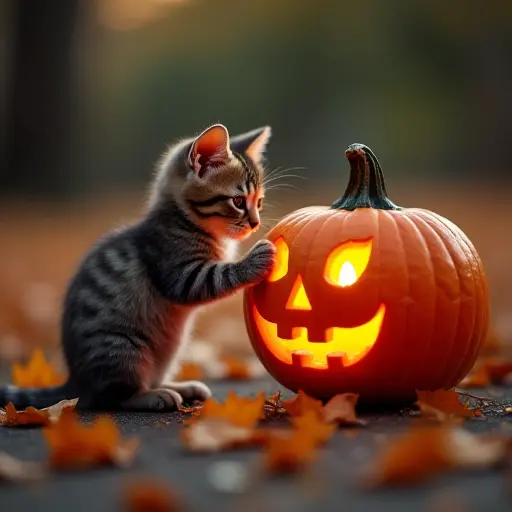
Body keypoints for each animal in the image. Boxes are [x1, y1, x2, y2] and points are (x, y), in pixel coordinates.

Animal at [0, 124, 276, 412]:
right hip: (122, 349)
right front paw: (253, 261)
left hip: (169, 351)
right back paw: (153, 396)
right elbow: (216, 277)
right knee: (113, 397)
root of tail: (75, 383)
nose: (255, 224)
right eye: (238, 201)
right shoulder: (178, 271)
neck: (185, 219)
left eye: (259, 202)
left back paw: (179, 387)